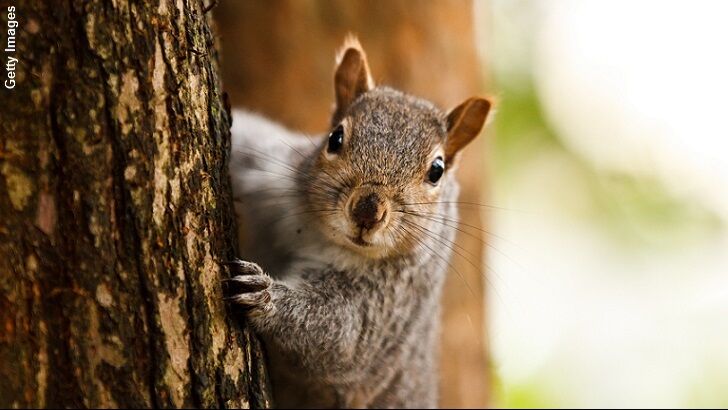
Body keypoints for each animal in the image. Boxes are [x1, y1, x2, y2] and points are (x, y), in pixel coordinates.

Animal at [225, 37, 491, 409]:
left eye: (436, 170)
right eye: (335, 138)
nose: (368, 211)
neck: (321, 235)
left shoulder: (387, 302)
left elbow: (340, 335)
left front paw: (263, 295)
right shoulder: (271, 173)